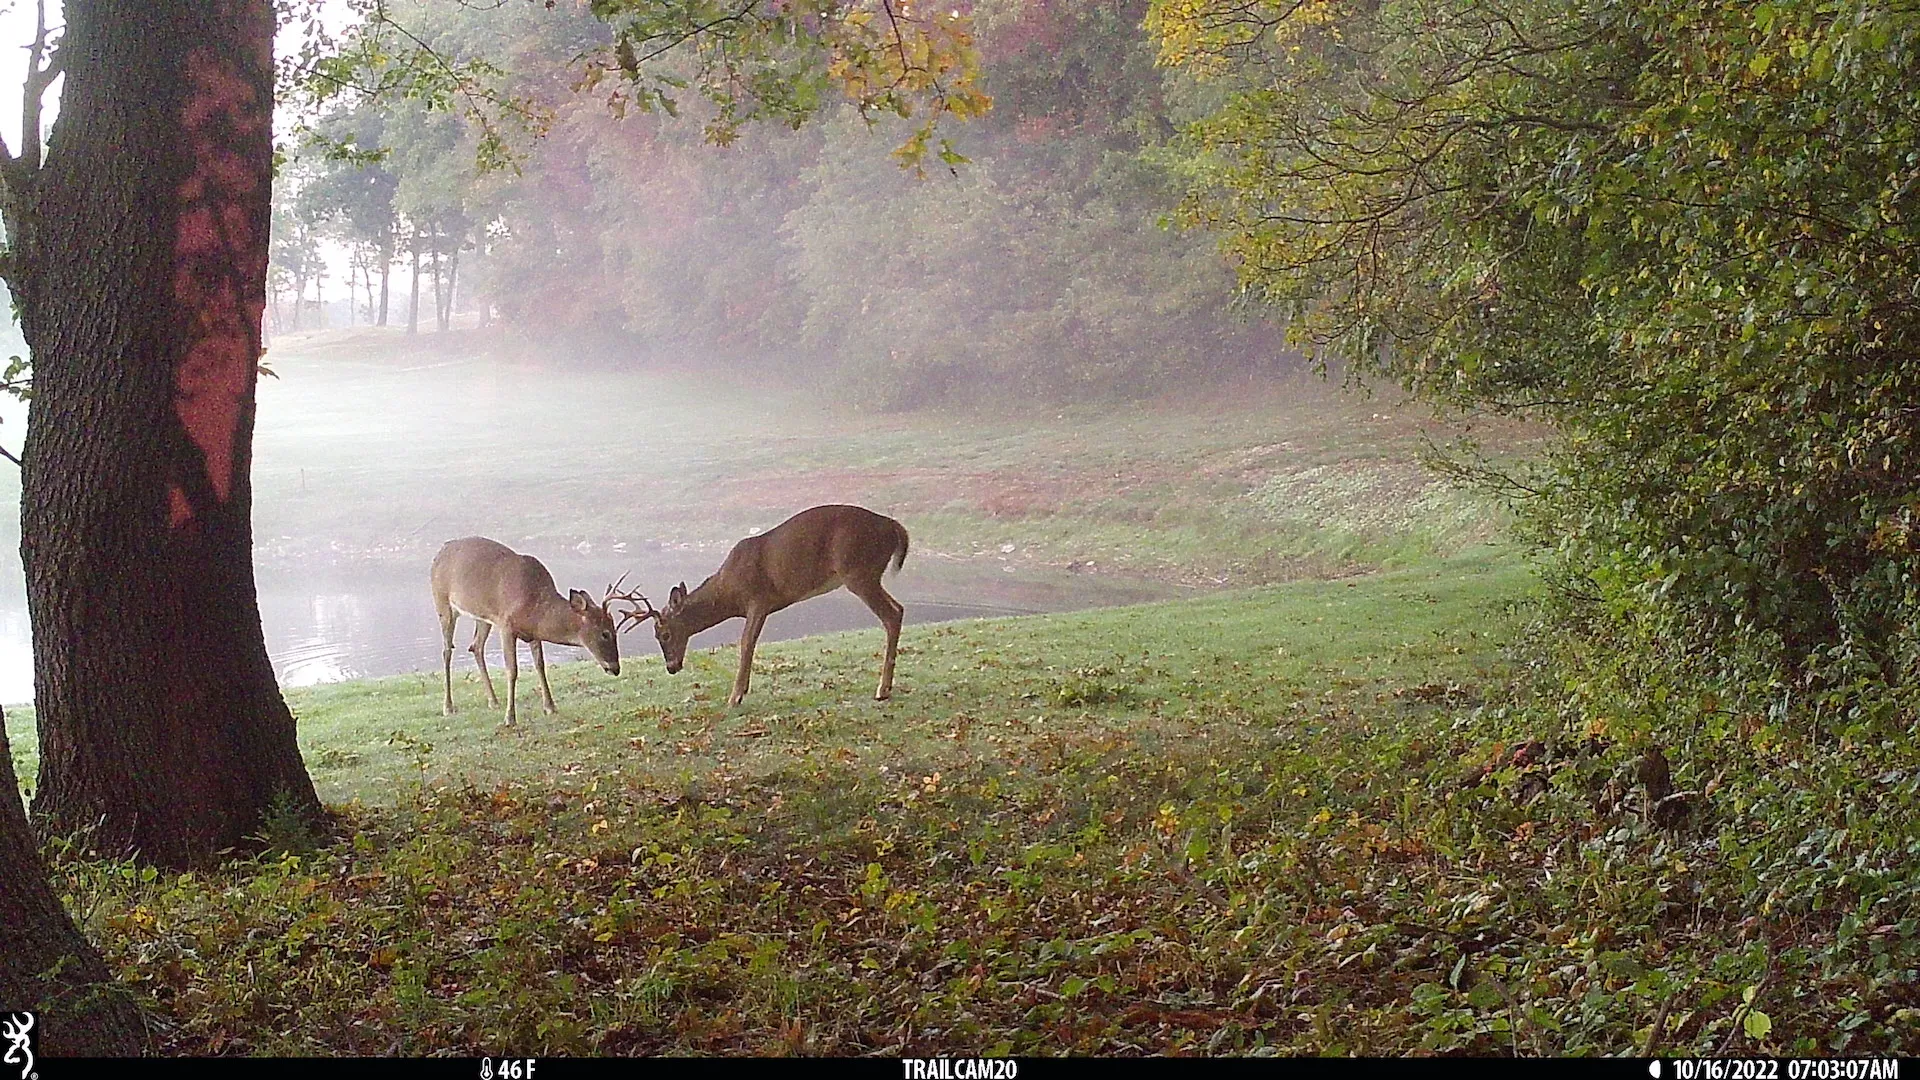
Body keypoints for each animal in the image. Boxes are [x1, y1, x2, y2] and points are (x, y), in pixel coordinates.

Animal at [430, 537, 640, 725]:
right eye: (605, 633)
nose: (615, 668)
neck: (535, 605)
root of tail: (440, 551)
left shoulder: (533, 632)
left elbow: (540, 665)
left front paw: (550, 707)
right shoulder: (506, 625)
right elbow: (512, 670)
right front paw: (510, 718)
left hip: (481, 617)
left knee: (476, 646)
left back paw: (493, 701)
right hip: (443, 603)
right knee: (447, 650)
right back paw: (448, 707)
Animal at [621, 505, 909, 707]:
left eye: (664, 634)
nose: (672, 667)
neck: (728, 591)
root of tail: (894, 527)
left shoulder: (758, 599)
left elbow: (746, 642)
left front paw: (735, 696)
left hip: (858, 571)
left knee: (891, 615)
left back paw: (882, 690)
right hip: (868, 574)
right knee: (899, 609)